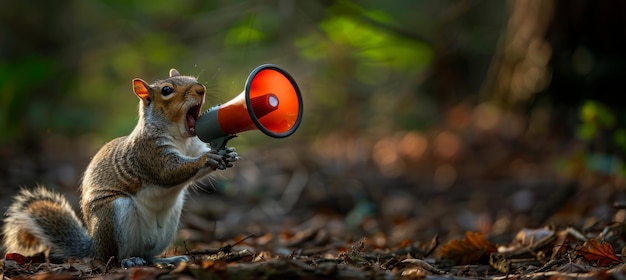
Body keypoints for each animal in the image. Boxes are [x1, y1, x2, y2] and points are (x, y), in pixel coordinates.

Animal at [3, 69, 236, 268]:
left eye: (193, 78)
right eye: (166, 90)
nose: (201, 89)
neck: (181, 137)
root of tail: (95, 247)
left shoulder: (193, 145)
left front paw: (229, 155)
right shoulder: (148, 153)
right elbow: (169, 172)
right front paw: (206, 158)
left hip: (169, 223)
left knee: (148, 256)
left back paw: (168, 259)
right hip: (114, 214)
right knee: (115, 257)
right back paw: (129, 261)